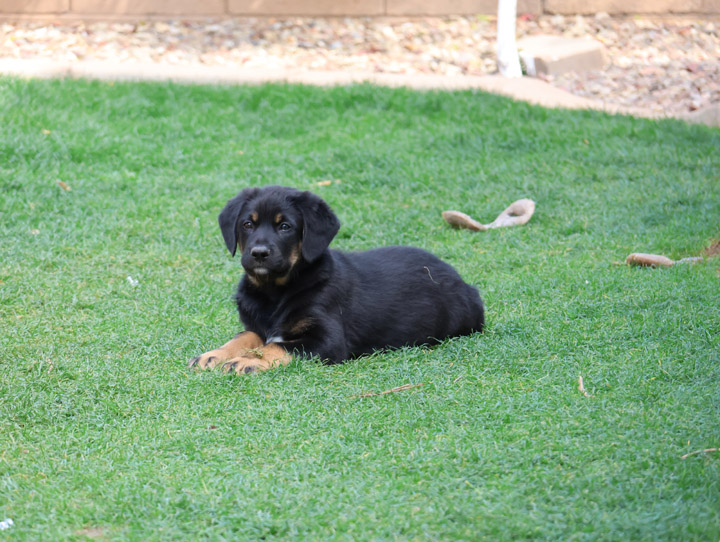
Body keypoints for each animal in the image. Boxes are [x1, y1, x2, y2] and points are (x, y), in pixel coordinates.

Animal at [190, 186, 484, 374]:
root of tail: (463, 282)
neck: (274, 293)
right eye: (247, 225)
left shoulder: (328, 340)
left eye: (285, 227)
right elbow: (242, 338)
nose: (259, 253)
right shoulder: (256, 326)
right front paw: (214, 354)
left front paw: (247, 361)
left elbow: (276, 347)